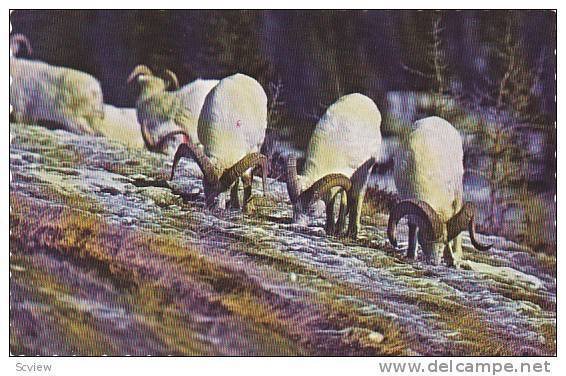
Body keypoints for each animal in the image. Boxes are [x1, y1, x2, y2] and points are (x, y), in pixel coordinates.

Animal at [171, 73, 268, 212]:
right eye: (204, 184)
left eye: (225, 189)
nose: (215, 208)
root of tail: (241, 76)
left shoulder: (251, 150)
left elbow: (246, 178)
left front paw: (247, 209)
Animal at [288, 92, 382, 236]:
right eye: (294, 205)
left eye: (312, 210)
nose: (295, 226)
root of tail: (362, 97)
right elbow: (331, 204)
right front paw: (331, 229)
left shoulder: (360, 174)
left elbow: (355, 198)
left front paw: (352, 233)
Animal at [388, 116, 494, 266]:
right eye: (424, 240)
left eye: (443, 242)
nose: (434, 262)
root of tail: (436, 118)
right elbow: (412, 226)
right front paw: (410, 255)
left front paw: (452, 260)